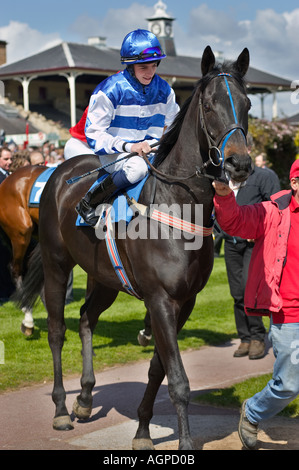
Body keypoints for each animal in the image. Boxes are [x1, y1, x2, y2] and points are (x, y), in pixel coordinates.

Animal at [15, 46, 253, 450]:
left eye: (247, 104)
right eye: (208, 105)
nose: (240, 163)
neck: (178, 205)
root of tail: (56, 173)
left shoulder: (184, 301)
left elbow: (158, 368)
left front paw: (142, 431)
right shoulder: (160, 299)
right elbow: (178, 379)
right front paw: (184, 443)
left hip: (105, 279)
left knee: (86, 318)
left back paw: (84, 399)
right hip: (56, 264)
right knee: (57, 331)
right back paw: (61, 409)